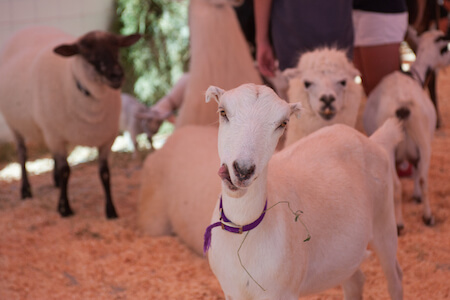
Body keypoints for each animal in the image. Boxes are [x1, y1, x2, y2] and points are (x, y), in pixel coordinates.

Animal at [0, 25, 140, 218]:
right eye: (86, 53)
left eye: (117, 48)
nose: (117, 75)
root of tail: (28, 28)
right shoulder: (55, 137)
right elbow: (66, 170)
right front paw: (64, 208)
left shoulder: (107, 139)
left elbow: (104, 173)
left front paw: (111, 210)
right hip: (15, 124)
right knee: (22, 154)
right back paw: (26, 190)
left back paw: (56, 182)